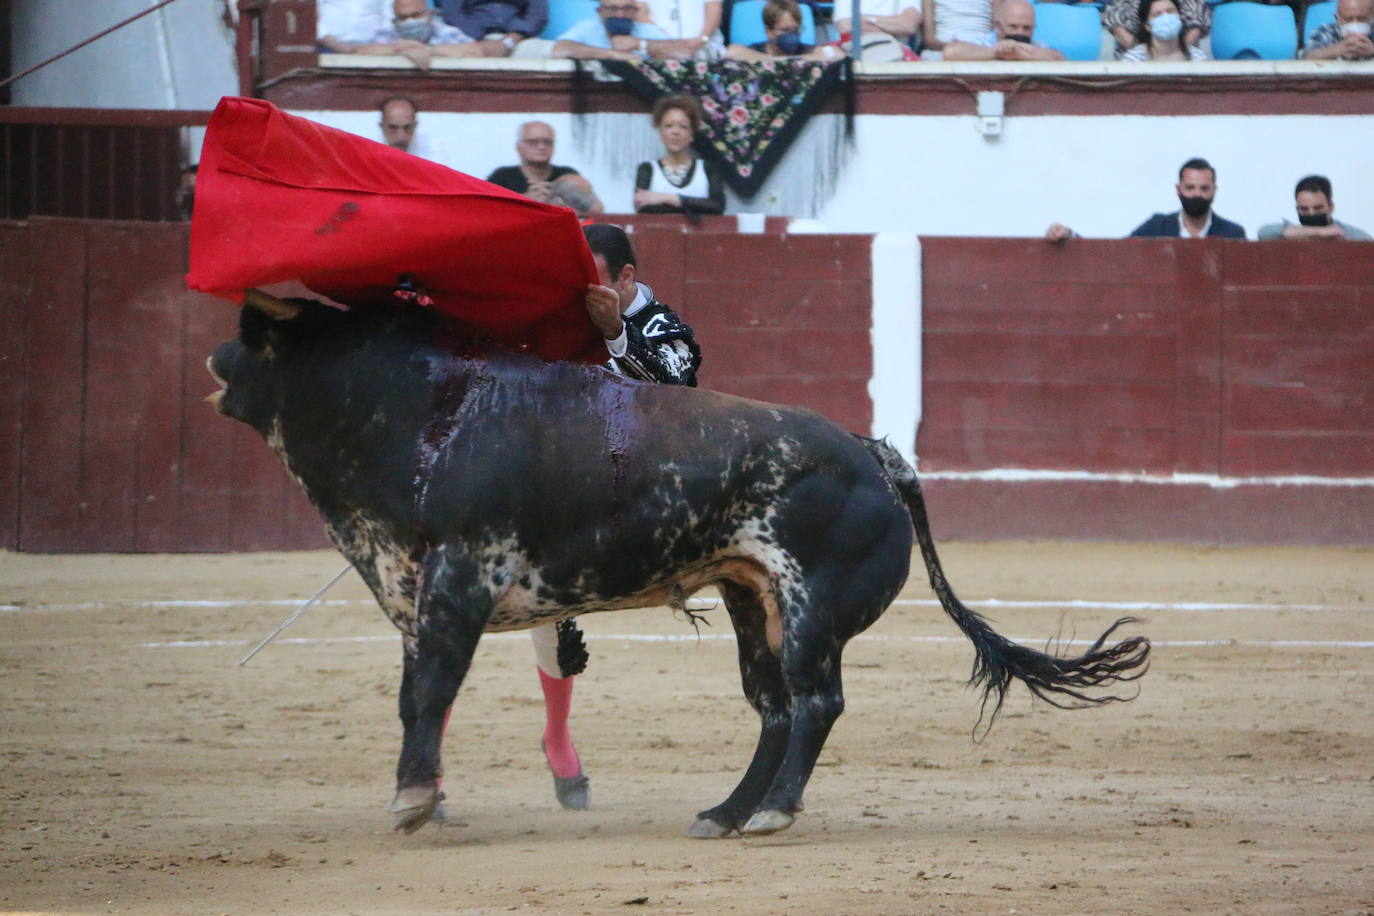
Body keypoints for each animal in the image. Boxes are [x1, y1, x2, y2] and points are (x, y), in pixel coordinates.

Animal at [206, 293, 1148, 840]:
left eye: (255, 342)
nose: (214, 361)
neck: (421, 409)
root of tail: (877, 455)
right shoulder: (414, 590)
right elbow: (416, 698)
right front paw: (426, 799)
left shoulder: (455, 586)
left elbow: (428, 693)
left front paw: (410, 804)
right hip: (752, 601)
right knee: (775, 708)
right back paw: (728, 812)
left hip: (810, 609)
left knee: (816, 703)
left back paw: (771, 814)